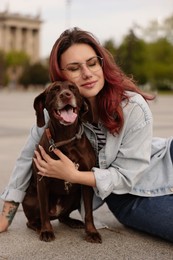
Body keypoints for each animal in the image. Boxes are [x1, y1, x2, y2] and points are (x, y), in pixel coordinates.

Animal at [22, 81, 102, 244]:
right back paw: (39, 227)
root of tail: (56, 212)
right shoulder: (42, 180)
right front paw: (46, 230)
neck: (66, 139)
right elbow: (44, 211)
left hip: (75, 197)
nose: (66, 95)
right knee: (33, 220)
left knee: (63, 217)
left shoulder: (86, 180)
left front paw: (91, 231)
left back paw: (73, 222)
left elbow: (88, 212)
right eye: (54, 89)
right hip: (30, 199)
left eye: (73, 88)